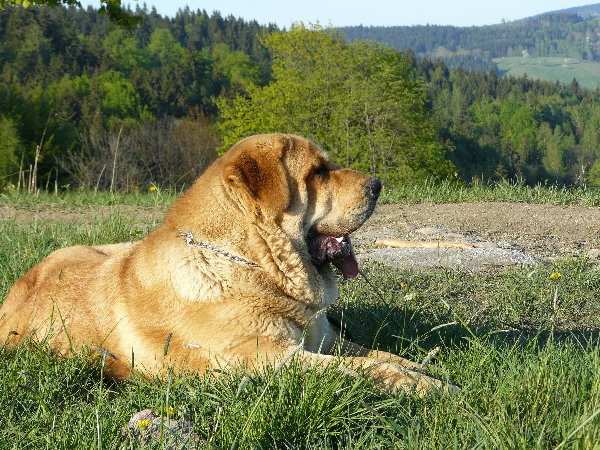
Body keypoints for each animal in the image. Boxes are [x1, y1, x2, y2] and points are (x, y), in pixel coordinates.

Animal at [0, 135, 454, 396]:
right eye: (318, 173)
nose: (378, 185)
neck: (257, 267)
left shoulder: (324, 340)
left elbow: (379, 354)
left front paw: (423, 367)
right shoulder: (267, 360)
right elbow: (362, 369)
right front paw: (425, 385)